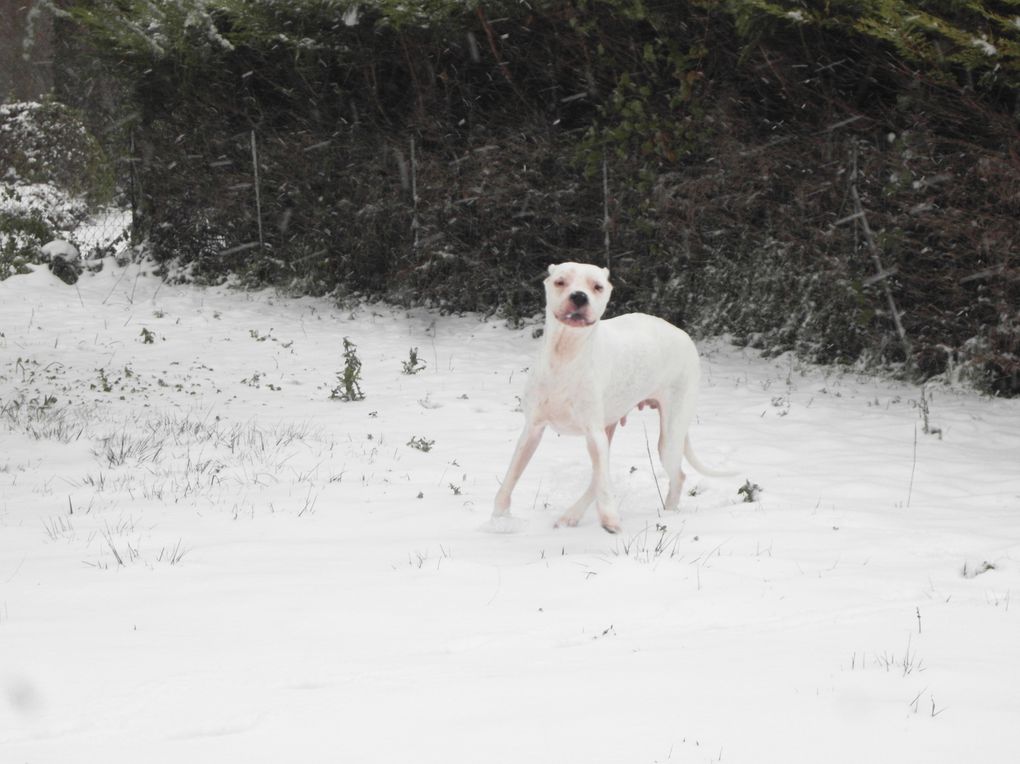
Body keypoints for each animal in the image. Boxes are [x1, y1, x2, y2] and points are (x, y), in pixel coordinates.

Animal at [491, 261, 726, 530]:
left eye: (597, 286)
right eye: (561, 281)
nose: (579, 296)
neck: (566, 354)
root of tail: (683, 334)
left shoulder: (593, 433)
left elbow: (603, 482)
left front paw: (610, 517)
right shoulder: (533, 429)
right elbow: (511, 476)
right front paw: (499, 517)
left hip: (669, 435)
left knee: (676, 476)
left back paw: (666, 514)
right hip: (610, 429)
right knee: (599, 476)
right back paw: (571, 516)